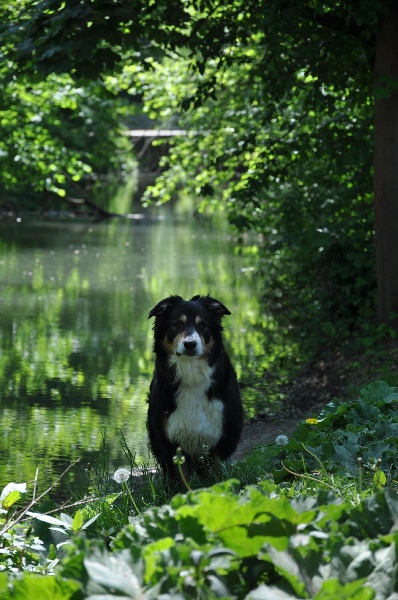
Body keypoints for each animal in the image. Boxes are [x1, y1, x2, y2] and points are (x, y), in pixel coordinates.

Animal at [148, 296, 244, 482]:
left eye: (203, 325)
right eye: (177, 324)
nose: (190, 344)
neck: (191, 373)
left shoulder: (223, 435)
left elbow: (215, 475)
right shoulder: (167, 440)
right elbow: (179, 479)